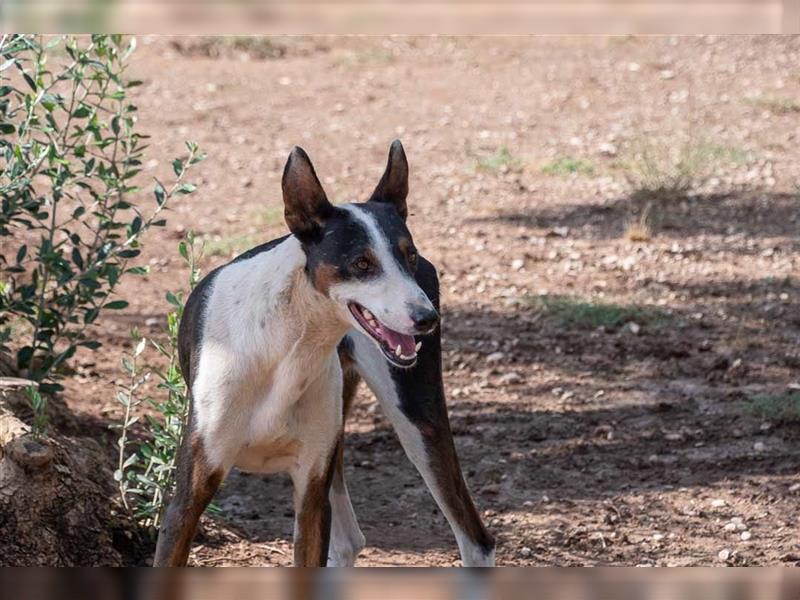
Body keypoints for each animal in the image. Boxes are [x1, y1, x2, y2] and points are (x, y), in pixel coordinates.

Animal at [152, 141, 494, 568]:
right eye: (362, 263)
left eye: (408, 256)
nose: (426, 318)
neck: (288, 347)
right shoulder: (187, 501)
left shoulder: (312, 494)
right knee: (350, 541)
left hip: (417, 422)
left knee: (475, 539)